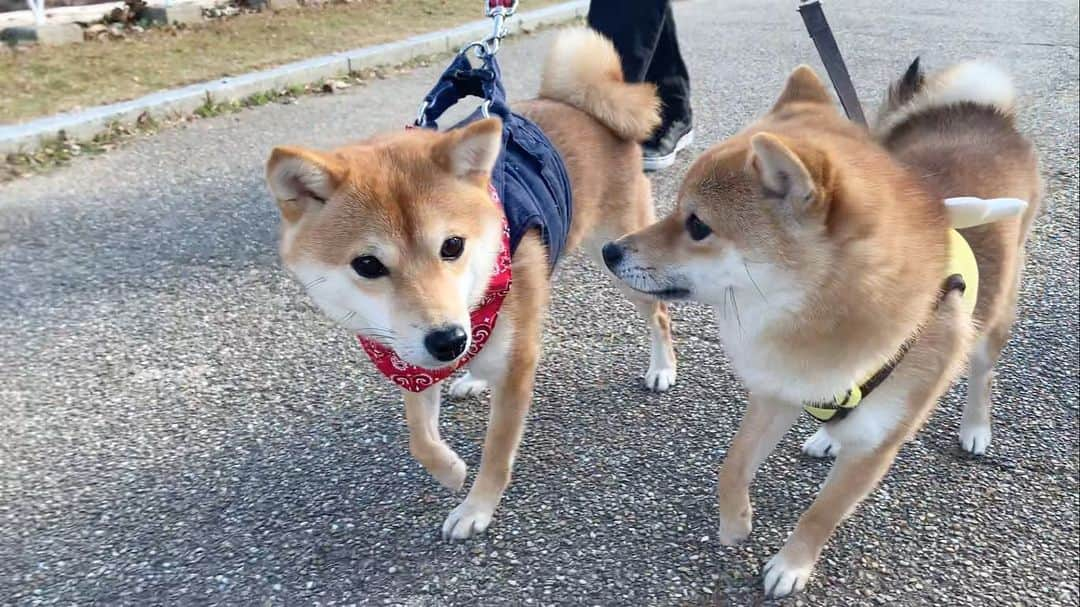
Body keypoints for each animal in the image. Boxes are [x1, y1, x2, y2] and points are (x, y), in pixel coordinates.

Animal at [263, 29, 673, 537]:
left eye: (452, 245)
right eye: (368, 264)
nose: (448, 341)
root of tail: (583, 106)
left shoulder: (514, 366)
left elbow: (496, 452)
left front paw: (476, 508)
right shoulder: (411, 354)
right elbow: (420, 437)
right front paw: (451, 470)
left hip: (619, 257)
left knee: (659, 314)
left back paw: (663, 368)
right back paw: (473, 376)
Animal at [609, 62, 1036, 596]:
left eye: (698, 225)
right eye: (675, 210)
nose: (609, 250)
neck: (813, 323)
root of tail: (980, 111)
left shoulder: (874, 451)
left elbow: (821, 514)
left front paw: (791, 566)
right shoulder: (777, 392)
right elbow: (732, 466)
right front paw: (736, 523)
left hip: (994, 321)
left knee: (983, 375)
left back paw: (976, 427)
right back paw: (827, 436)